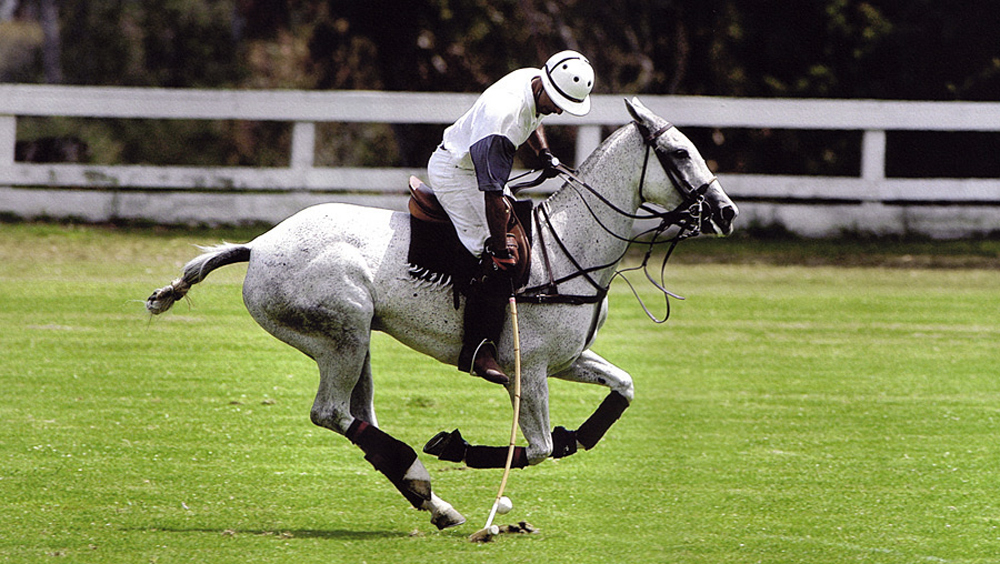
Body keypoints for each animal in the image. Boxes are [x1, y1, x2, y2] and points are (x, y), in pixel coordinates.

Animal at [146, 98, 738, 530]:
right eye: (680, 153)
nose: (727, 213)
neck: (569, 244)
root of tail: (259, 246)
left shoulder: (567, 358)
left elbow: (623, 389)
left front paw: (576, 435)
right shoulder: (529, 368)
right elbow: (539, 448)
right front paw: (459, 448)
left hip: (357, 338)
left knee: (357, 415)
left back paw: (432, 500)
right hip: (341, 330)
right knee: (331, 413)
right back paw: (423, 475)